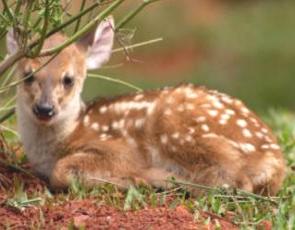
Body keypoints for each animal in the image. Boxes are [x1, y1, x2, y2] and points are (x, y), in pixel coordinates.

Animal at [6, 17, 286, 195]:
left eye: (68, 79)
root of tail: (274, 159)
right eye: (28, 75)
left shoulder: (119, 149)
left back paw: (157, 179)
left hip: (178, 127)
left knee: (233, 180)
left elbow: (62, 171)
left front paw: (128, 179)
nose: (44, 109)